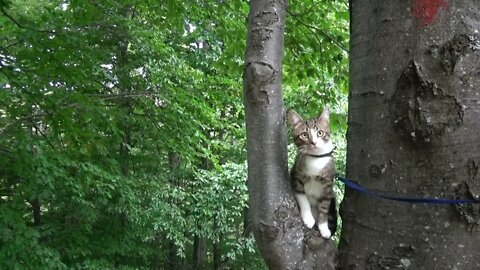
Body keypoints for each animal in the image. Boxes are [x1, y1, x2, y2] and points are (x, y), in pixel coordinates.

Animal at [286, 107, 336, 238]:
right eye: (304, 135)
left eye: (320, 133)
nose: (314, 143)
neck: (316, 159)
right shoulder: (296, 176)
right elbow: (303, 198)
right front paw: (308, 218)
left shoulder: (328, 185)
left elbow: (324, 207)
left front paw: (324, 228)